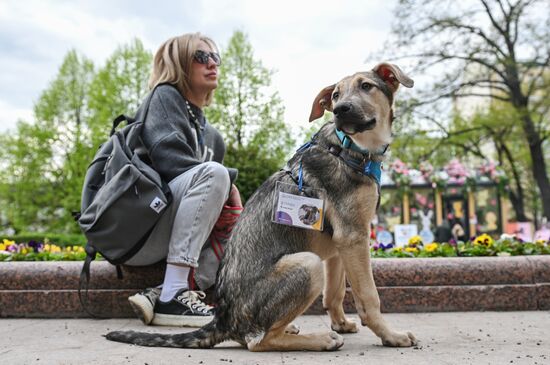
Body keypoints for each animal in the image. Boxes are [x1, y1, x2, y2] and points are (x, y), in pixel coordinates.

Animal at [106, 62, 418, 350]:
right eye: (336, 95)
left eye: (366, 86)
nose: (341, 109)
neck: (349, 148)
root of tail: (223, 318)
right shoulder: (354, 237)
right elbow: (369, 296)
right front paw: (391, 335)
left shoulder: (341, 245)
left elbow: (335, 293)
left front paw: (341, 324)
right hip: (308, 264)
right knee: (260, 341)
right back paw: (318, 339)